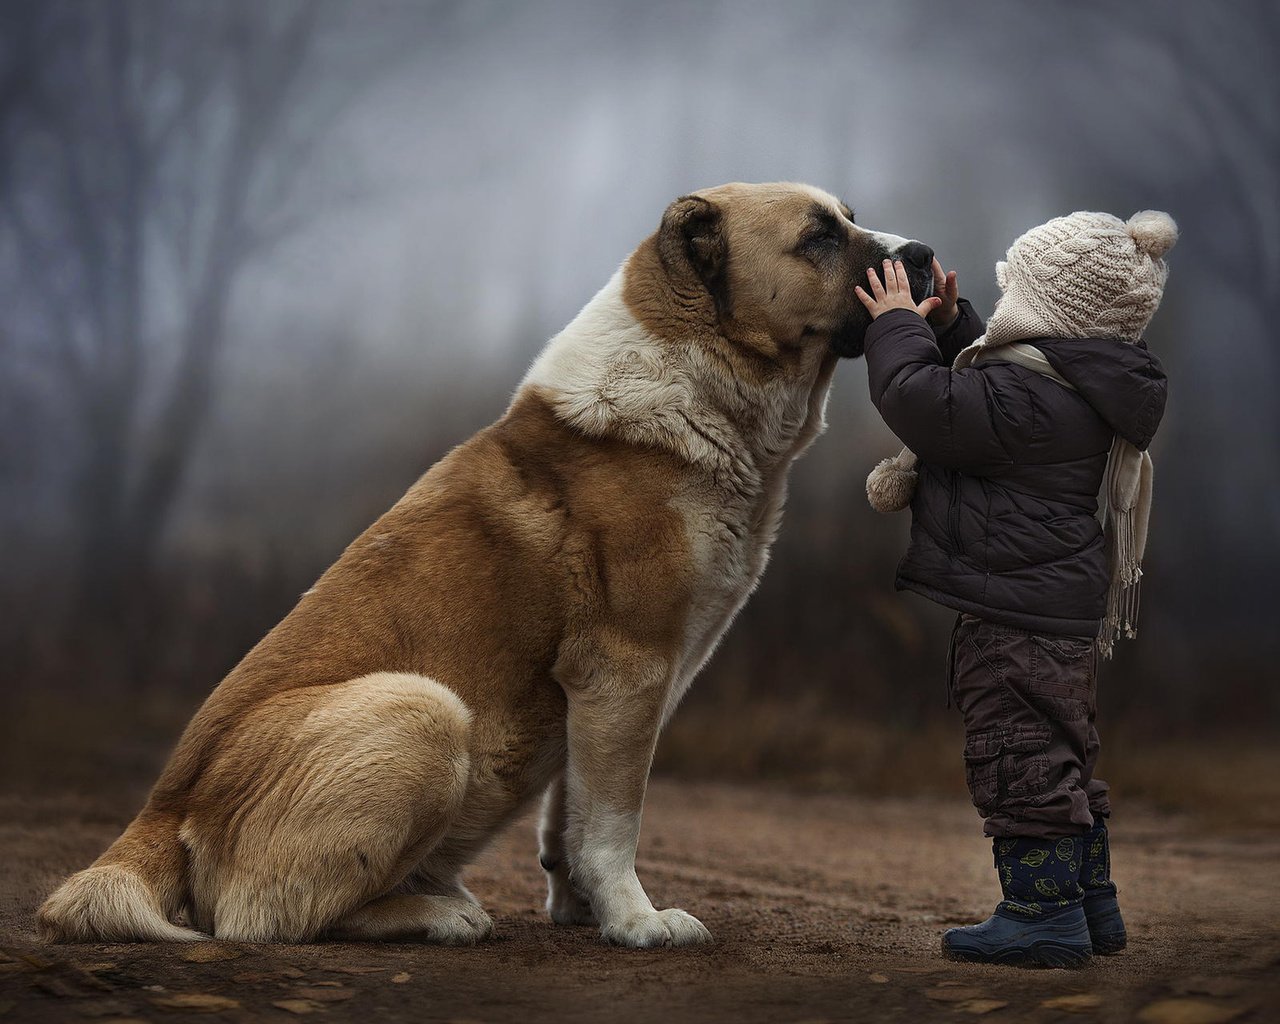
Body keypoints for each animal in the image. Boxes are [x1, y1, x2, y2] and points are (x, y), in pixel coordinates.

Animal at [40, 180, 936, 947]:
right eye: (819, 237)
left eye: (849, 218)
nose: (924, 254)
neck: (696, 378)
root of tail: (158, 814)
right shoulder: (628, 670)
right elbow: (615, 819)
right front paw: (637, 922)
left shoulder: (603, 694)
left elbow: (573, 813)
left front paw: (584, 909)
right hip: (424, 710)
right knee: (268, 917)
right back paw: (440, 914)